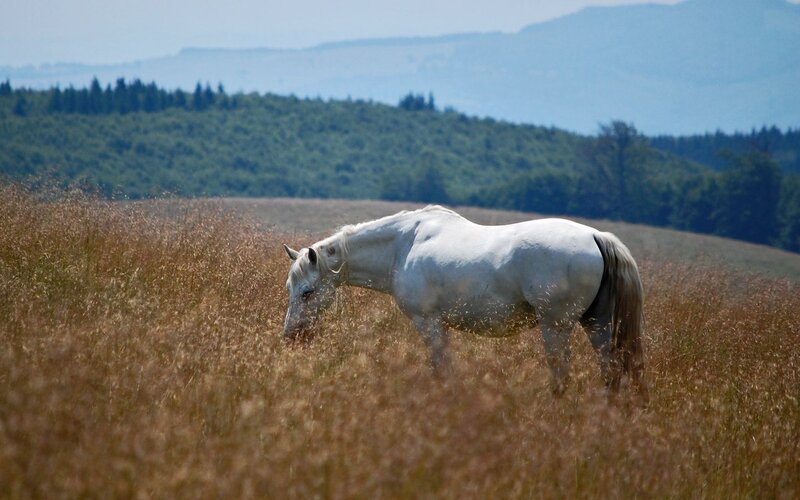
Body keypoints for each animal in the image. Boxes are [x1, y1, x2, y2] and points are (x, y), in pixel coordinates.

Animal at [282, 205, 648, 401]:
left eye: (307, 292)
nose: (291, 338)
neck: (403, 245)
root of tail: (596, 237)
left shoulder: (429, 323)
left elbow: (441, 369)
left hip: (555, 327)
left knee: (562, 375)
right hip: (598, 325)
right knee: (611, 371)